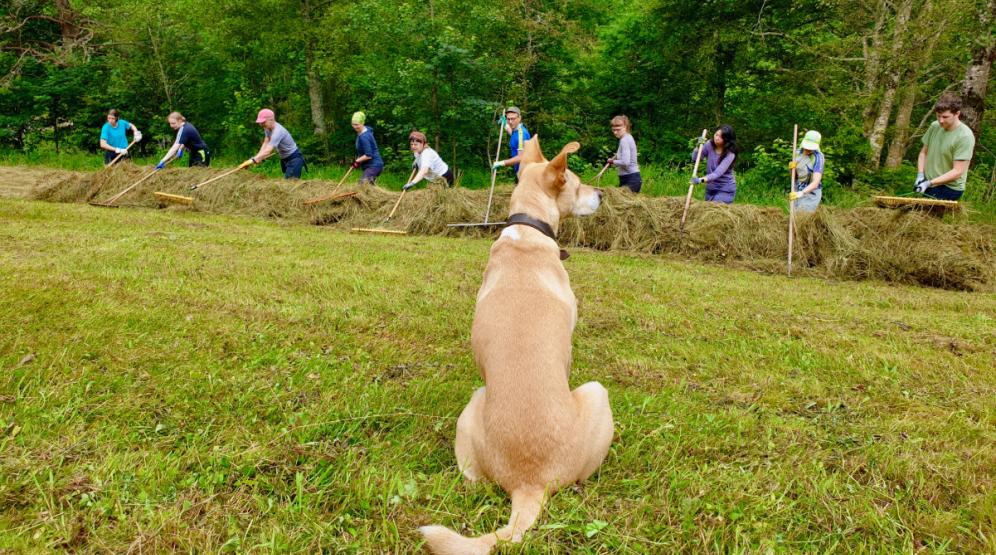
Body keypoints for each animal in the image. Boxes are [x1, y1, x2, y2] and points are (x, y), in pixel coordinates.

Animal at [420, 136, 616, 555]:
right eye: (577, 184)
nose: (602, 193)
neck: (528, 230)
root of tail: (530, 484)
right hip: (595, 394)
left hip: (471, 412)